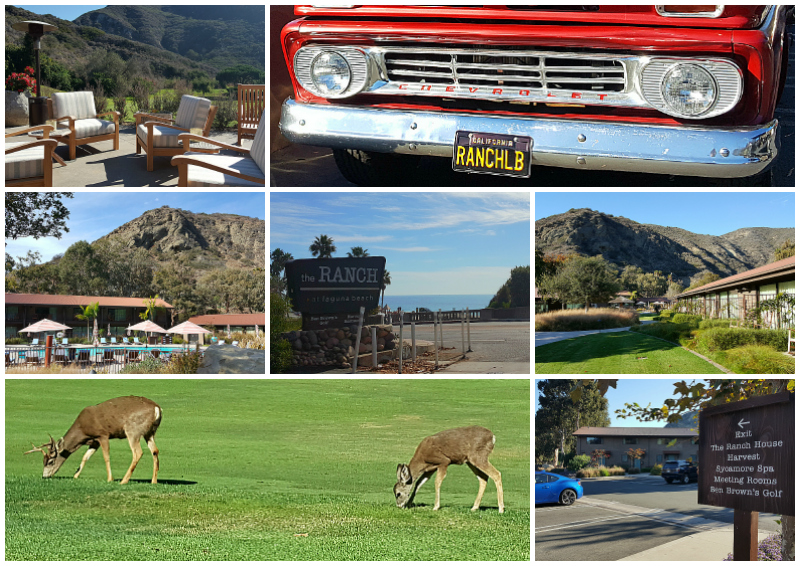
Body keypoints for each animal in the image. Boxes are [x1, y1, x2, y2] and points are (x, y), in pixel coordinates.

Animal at [24, 398, 161, 486]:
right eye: (43, 461)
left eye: (50, 461)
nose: (44, 476)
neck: (82, 431)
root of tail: (157, 409)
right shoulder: (94, 441)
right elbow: (86, 457)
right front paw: (75, 476)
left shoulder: (103, 434)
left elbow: (106, 457)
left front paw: (110, 479)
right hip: (150, 432)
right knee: (155, 451)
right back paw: (153, 481)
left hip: (133, 430)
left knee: (138, 452)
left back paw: (124, 481)